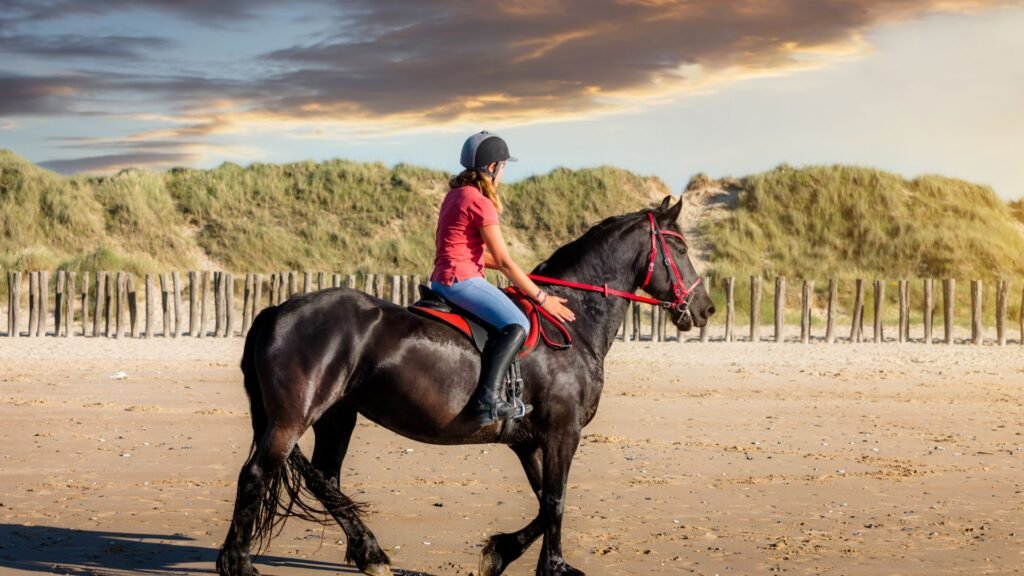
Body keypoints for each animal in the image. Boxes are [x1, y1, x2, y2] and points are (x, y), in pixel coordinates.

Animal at [216, 194, 712, 569]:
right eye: (682, 250)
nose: (705, 308)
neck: (573, 321)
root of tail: (277, 309)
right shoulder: (562, 433)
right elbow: (555, 502)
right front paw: (550, 567)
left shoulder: (531, 442)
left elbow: (545, 502)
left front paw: (501, 552)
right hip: (292, 418)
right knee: (257, 475)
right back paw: (239, 564)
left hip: (337, 416)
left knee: (325, 479)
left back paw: (370, 553)